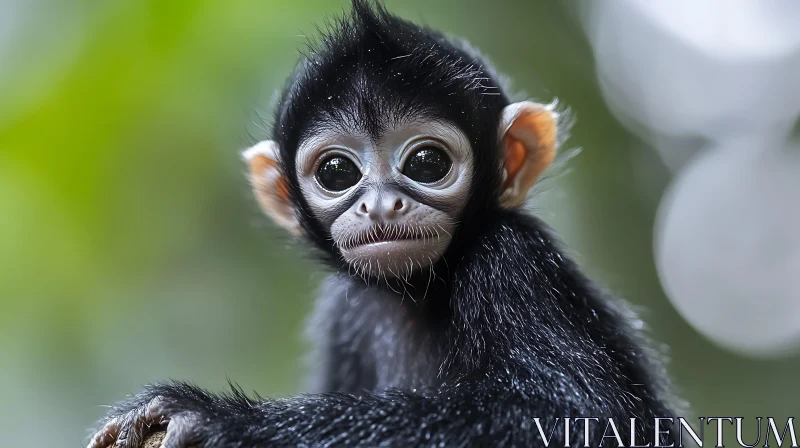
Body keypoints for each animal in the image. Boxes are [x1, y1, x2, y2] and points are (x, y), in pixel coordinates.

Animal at [92, 0, 680, 448]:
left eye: (427, 163)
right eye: (336, 172)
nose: (379, 206)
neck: (417, 294)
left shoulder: (511, 260)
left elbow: (574, 419)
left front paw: (223, 420)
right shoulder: (344, 311)